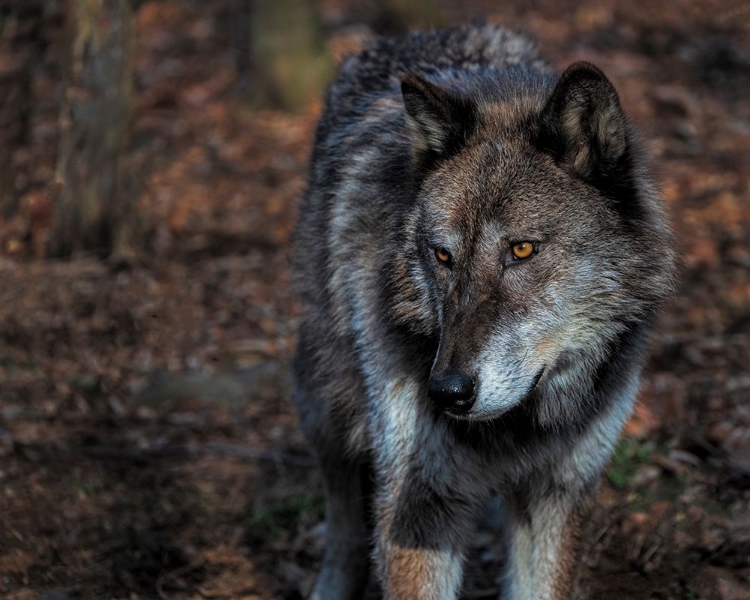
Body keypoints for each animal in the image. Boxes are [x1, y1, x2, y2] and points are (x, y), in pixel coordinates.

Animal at [292, 23, 676, 600]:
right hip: (325, 409)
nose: (446, 392)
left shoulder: (557, 496)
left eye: (521, 250)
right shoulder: (419, 507)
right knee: (343, 519)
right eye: (442, 256)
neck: (518, 428)